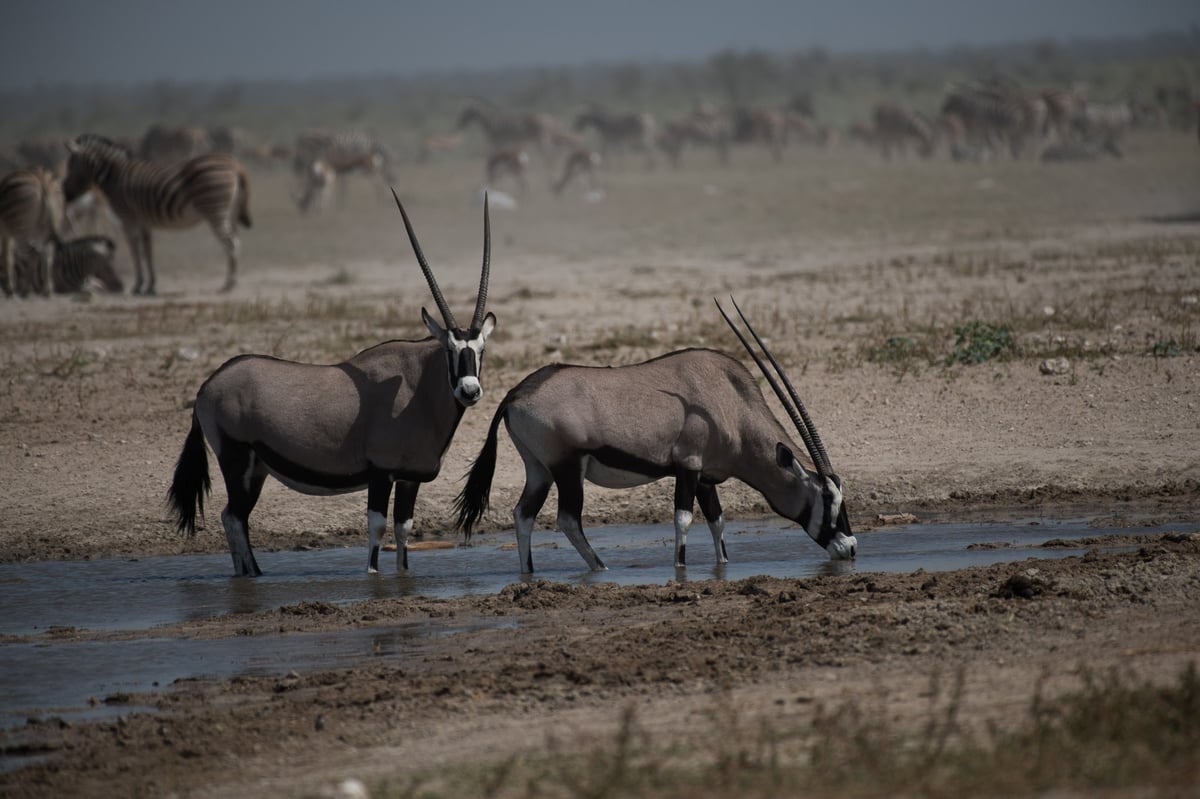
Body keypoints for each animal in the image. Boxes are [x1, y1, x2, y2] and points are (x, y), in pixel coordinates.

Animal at [0, 166, 62, 297]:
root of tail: (43, 181)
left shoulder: (6, 232)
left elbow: (7, 257)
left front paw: (9, 288)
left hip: (23, 229)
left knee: (32, 254)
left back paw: (25, 289)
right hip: (51, 224)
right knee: (48, 254)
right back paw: (47, 290)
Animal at [62, 133, 252, 295]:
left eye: (70, 164)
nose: (65, 192)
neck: (115, 177)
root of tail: (236, 165)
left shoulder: (127, 218)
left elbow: (135, 251)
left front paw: (137, 285)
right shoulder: (144, 222)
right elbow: (147, 251)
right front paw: (150, 286)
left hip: (215, 209)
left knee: (231, 243)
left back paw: (229, 283)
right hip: (230, 213)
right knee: (236, 240)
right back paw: (231, 281)